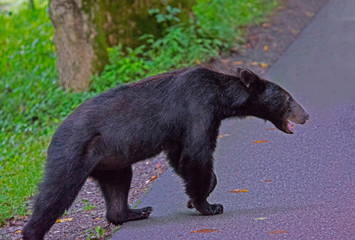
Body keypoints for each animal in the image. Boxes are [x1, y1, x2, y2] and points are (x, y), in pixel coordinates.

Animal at [23, 66, 310, 240]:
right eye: (287, 99)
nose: (306, 115)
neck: (220, 96)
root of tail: (53, 136)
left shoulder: (182, 130)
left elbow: (180, 158)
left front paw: (197, 197)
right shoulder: (198, 110)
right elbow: (196, 154)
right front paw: (209, 205)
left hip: (112, 163)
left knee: (118, 185)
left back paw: (134, 212)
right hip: (73, 153)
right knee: (56, 193)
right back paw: (32, 232)